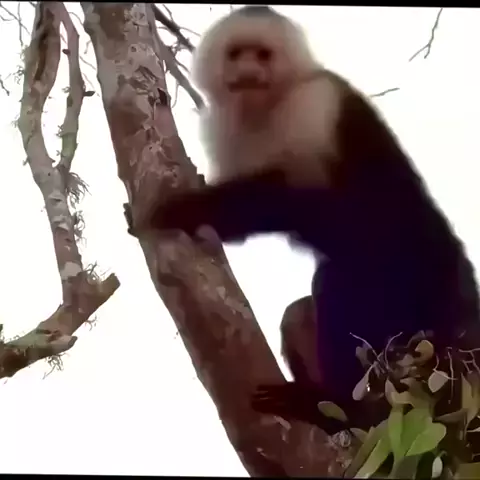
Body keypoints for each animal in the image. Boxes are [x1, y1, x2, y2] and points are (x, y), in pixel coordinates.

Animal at [130, 6, 480, 433]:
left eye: (262, 55)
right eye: (237, 54)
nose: (248, 71)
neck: (267, 109)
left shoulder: (314, 107)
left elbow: (340, 211)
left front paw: (190, 207)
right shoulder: (223, 132)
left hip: (420, 299)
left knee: (339, 277)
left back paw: (335, 406)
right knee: (300, 314)